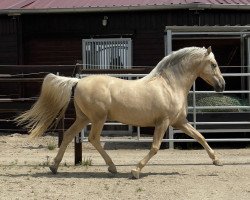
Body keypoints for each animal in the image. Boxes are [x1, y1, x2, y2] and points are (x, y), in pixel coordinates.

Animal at [16, 46, 226, 179]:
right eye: (214, 64)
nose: (222, 85)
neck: (169, 85)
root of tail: (78, 81)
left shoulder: (179, 122)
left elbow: (200, 137)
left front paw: (217, 161)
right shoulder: (163, 123)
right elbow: (155, 148)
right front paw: (135, 171)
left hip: (83, 118)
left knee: (68, 136)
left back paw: (54, 166)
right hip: (98, 119)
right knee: (93, 139)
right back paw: (112, 167)